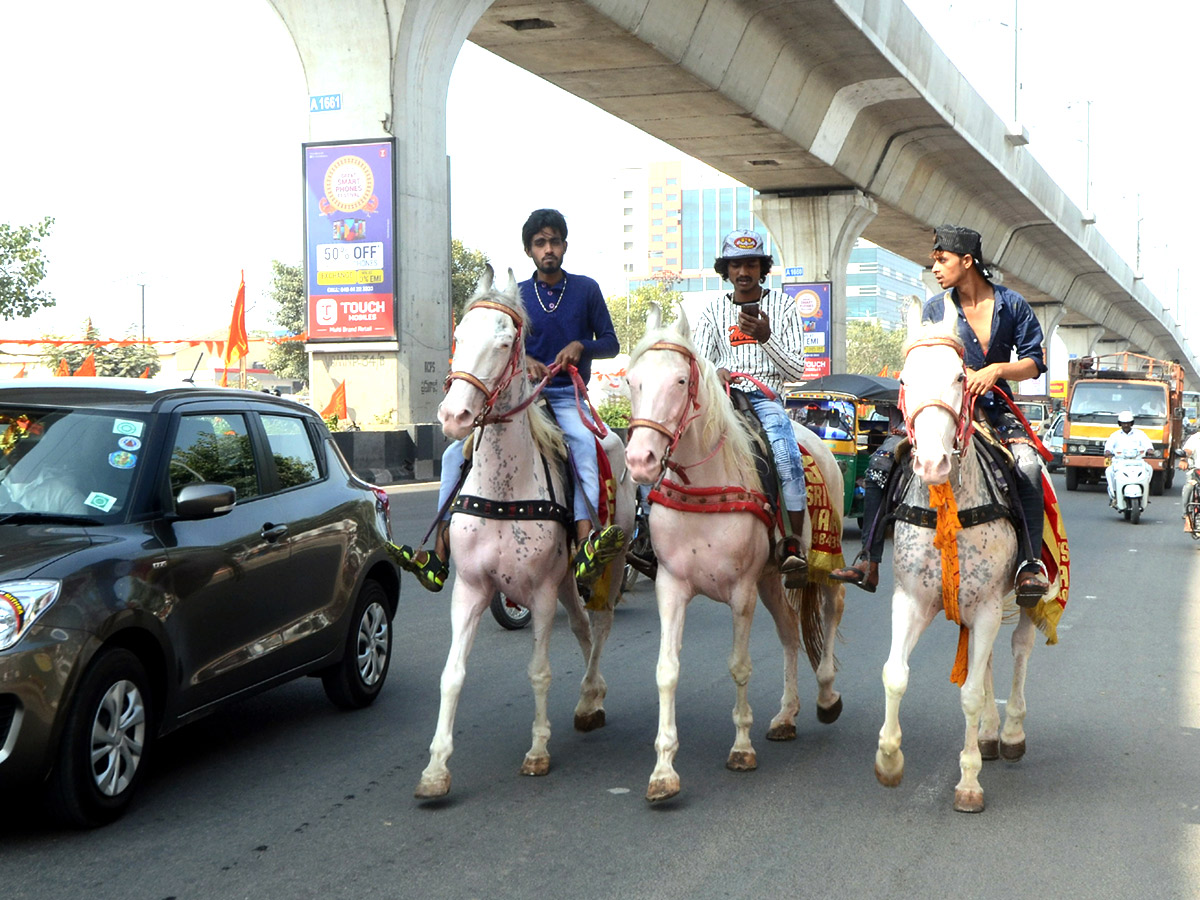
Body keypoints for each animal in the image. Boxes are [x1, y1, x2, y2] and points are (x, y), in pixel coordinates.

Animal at [412, 267, 638, 801]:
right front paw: (436, 768)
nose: (453, 417)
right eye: (458, 337)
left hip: (611, 562)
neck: (505, 488)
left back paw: (590, 696)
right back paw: (590, 698)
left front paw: (537, 751)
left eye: (505, 341)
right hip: (567, 577)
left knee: (600, 623)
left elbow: (539, 671)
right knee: (581, 626)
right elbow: (451, 676)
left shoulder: (539, 592)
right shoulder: (471, 589)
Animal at [624, 309, 849, 801]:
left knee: (831, 608)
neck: (704, 484)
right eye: (632, 380)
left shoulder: (741, 590)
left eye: (680, 380)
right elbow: (667, 670)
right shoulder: (671, 586)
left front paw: (741, 748)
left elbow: (740, 667)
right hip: (770, 578)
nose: (640, 460)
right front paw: (663, 771)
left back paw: (826, 695)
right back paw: (786, 715)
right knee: (789, 634)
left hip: (823, 559)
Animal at [873, 300, 1060, 816]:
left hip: (1024, 596)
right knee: (991, 657)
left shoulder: (989, 606)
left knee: (1018, 649)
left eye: (960, 377)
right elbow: (895, 675)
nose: (931, 463)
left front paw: (969, 781)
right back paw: (993, 736)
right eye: (904, 379)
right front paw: (889, 760)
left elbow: (972, 695)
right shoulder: (911, 600)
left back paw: (1010, 733)